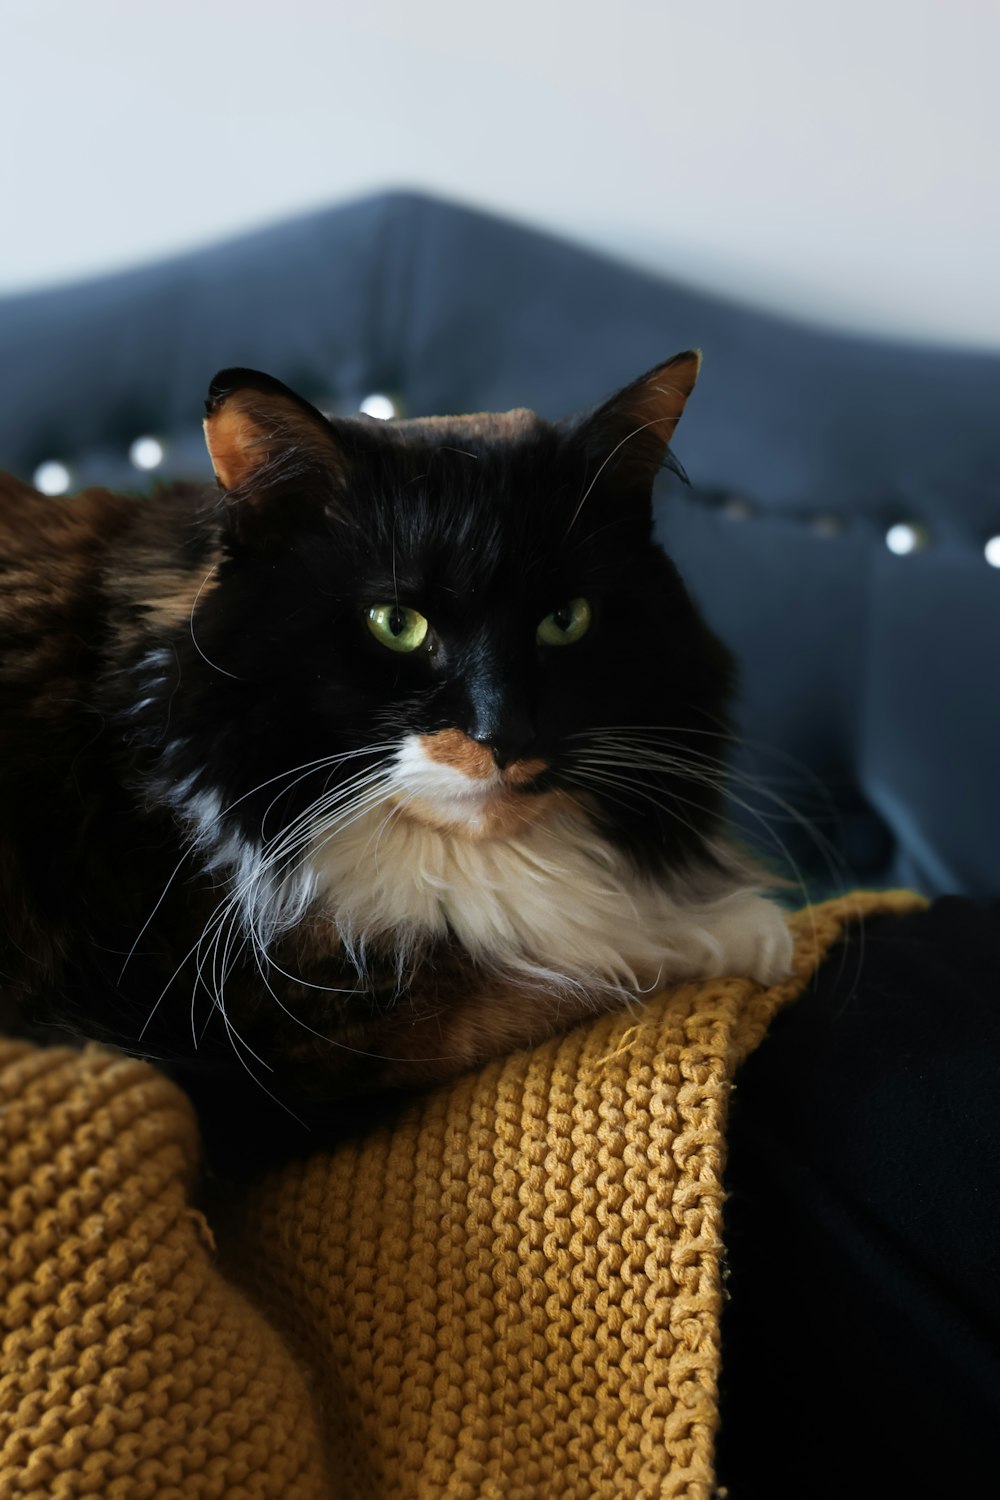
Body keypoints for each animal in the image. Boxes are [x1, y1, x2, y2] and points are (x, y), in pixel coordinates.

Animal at [0, 351, 791, 1140]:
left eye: (566, 620)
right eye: (397, 625)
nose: (504, 735)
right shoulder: (297, 1029)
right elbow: (591, 964)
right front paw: (753, 934)